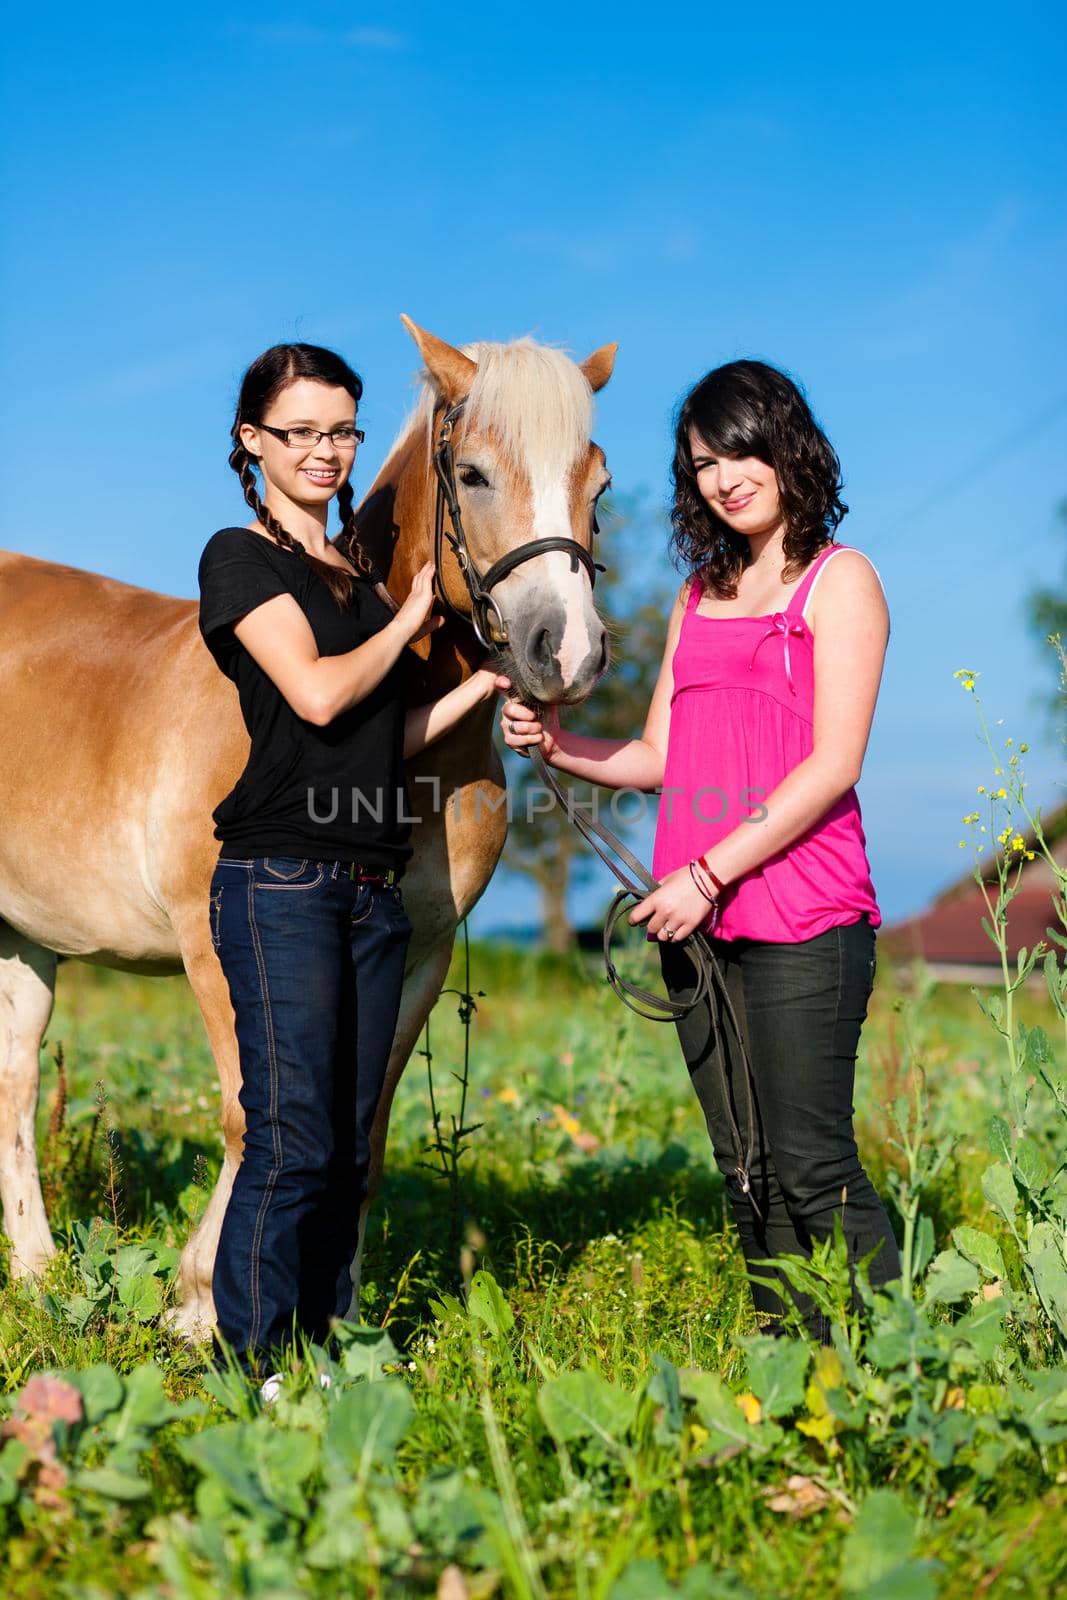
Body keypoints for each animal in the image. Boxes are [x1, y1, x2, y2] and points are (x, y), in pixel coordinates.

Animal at [0, 318, 617, 1331]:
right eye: (474, 474)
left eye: (596, 484)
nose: (563, 653)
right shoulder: (217, 946)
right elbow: (254, 1115)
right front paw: (201, 1305)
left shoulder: (417, 956)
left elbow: (361, 1131)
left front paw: (341, 1313)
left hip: (24, 938)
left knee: (13, 1083)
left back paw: (38, 1272)